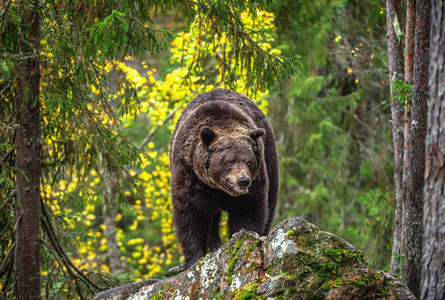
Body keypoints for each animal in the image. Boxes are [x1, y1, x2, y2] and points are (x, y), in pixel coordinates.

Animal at [169, 88, 278, 268]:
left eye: (249, 161)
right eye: (230, 160)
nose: (243, 180)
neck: (218, 187)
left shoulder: (255, 183)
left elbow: (248, 211)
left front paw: (242, 241)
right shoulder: (189, 175)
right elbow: (190, 215)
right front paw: (194, 259)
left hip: (270, 157)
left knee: (270, 202)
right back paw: (214, 244)